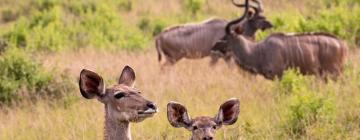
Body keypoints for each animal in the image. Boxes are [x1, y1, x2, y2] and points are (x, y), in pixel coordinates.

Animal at [212, 0, 348, 80]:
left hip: (334, 73)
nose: (214, 46)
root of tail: (342, 44)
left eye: (226, 37)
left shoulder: (279, 75)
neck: (258, 51)